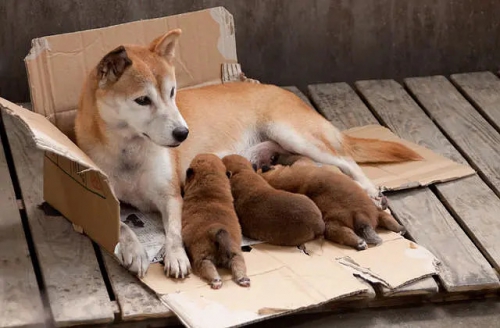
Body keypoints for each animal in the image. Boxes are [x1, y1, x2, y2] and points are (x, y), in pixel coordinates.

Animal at [181, 154, 249, 290]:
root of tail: (217, 229)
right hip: (235, 253)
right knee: (238, 264)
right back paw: (243, 279)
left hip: (203, 257)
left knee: (207, 267)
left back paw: (216, 281)